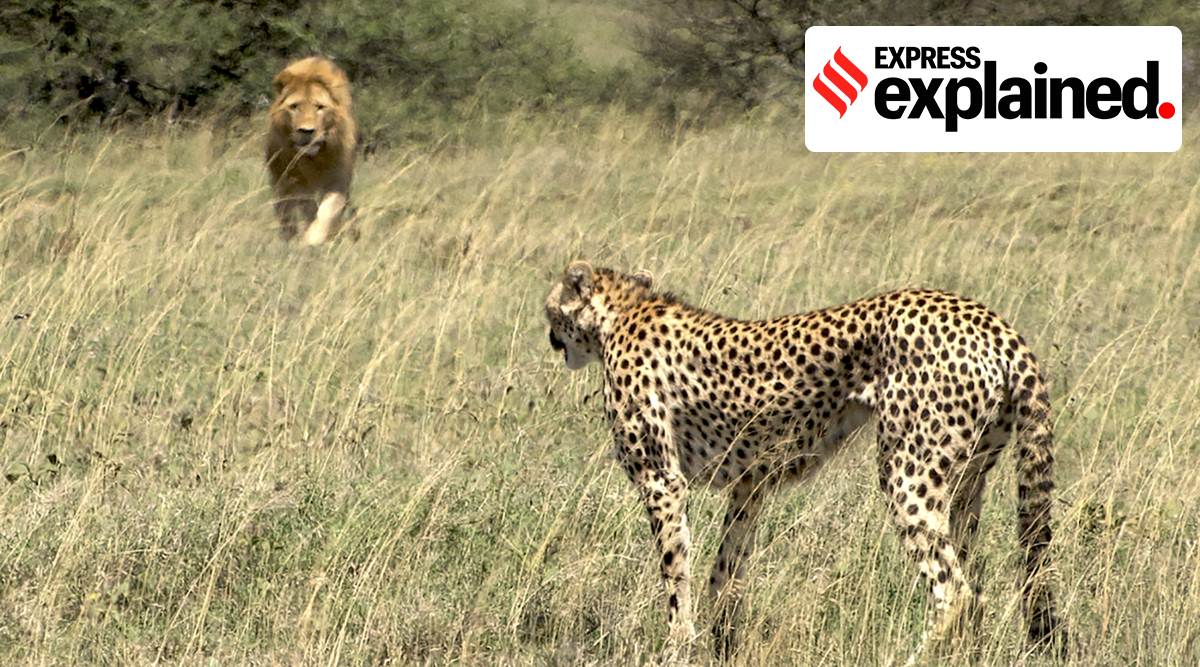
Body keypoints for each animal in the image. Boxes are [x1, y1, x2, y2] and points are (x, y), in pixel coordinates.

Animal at [265, 56, 356, 245]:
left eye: (319, 107)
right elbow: (306, 210)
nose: (306, 131)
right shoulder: (294, 184)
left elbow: (327, 211)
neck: (315, 159)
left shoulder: (338, 180)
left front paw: (314, 238)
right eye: (294, 106)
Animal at [543, 260, 1065, 661]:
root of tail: (993, 323)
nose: (549, 335)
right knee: (977, 587)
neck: (622, 314)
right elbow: (725, 571)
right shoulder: (751, 482)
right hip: (964, 482)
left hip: (907, 475)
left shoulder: (661, 481)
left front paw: (678, 646)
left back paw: (910, 657)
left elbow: (676, 571)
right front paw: (724, 645)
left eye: (551, 308)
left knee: (955, 592)